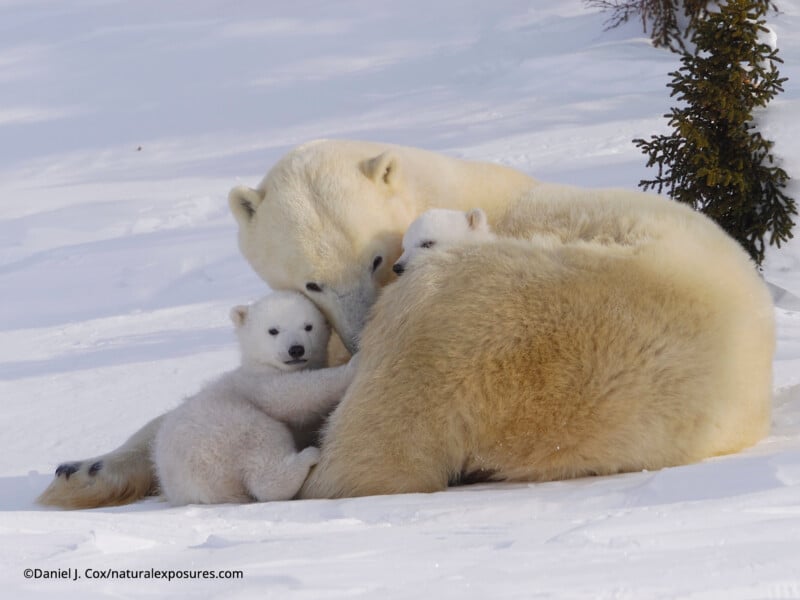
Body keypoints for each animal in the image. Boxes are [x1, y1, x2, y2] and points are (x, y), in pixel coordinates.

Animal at [154, 291, 356, 505]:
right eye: (273, 330)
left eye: (308, 326)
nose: (296, 349)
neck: (258, 365)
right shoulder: (256, 384)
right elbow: (291, 396)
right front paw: (352, 365)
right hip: (225, 429)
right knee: (262, 446)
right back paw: (307, 457)